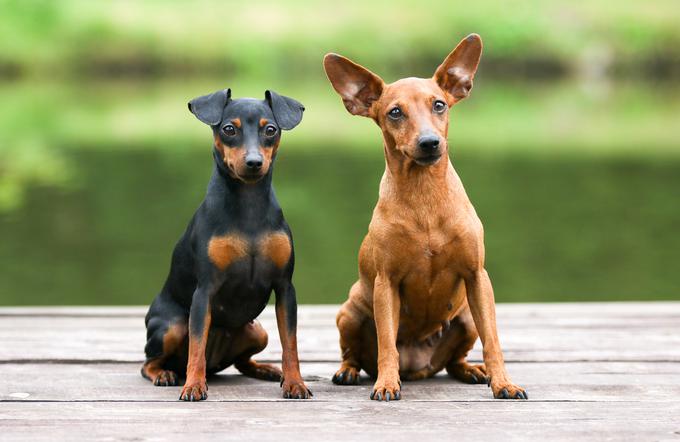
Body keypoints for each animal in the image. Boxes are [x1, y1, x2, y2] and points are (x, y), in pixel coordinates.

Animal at [145, 89, 314, 400]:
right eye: (228, 129)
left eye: (270, 130)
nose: (254, 162)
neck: (249, 206)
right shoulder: (204, 291)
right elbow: (197, 346)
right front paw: (193, 386)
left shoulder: (285, 289)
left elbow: (291, 344)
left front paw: (295, 382)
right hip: (171, 327)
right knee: (151, 361)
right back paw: (165, 374)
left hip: (257, 330)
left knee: (242, 361)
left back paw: (267, 370)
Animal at [322, 33, 524, 400]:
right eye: (395, 112)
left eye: (439, 105)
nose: (430, 142)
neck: (424, 197)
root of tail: (418, 366)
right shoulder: (386, 284)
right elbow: (387, 344)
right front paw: (386, 383)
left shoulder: (477, 277)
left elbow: (494, 341)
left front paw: (503, 382)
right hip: (350, 312)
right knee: (354, 353)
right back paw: (349, 371)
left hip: (467, 317)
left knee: (457, 359)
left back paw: (473, 370)